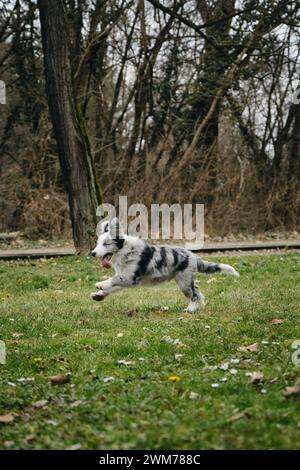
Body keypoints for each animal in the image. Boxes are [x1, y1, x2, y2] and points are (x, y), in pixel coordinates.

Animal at [90, 218, 240, 314]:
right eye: (98, 244)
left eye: (106, 244)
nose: (92, 253)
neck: (125, 250)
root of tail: (192, 255)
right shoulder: (126, 278)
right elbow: (113, 287)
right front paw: (99, 295)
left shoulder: (131, 277)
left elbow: (113, 280)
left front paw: (100, 284)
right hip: (185, 279)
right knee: (197, 291)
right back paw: (200, 306)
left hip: (184, 282)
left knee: (193, 294)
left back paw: (191, 309)